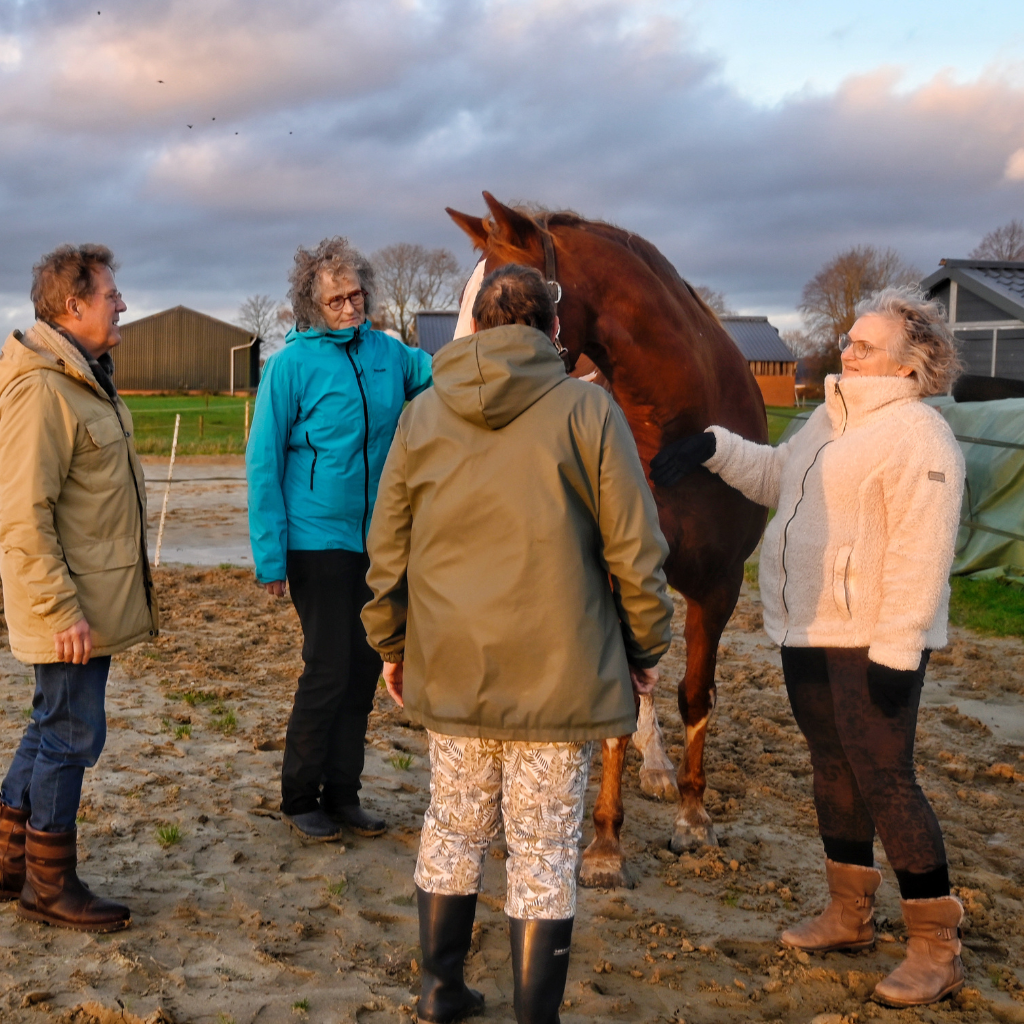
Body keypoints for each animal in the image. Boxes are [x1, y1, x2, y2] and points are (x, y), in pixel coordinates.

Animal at [448, 193, 770, 888]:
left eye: (496, 310)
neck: (679, 432)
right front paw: (604, 846)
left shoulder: (721, 586)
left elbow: (695, 695)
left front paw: (693, 818)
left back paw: (659, 768)